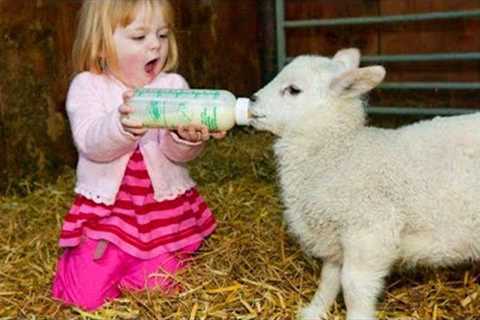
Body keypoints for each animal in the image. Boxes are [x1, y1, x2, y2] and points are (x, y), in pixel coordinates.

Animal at [249, 48, 480, 320]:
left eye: (294, 90)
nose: (252, 100)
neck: (338, 151)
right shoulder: (334, 235)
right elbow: (329, 278)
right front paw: (315, 310)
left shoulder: (369, 230)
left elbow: (353, 285)